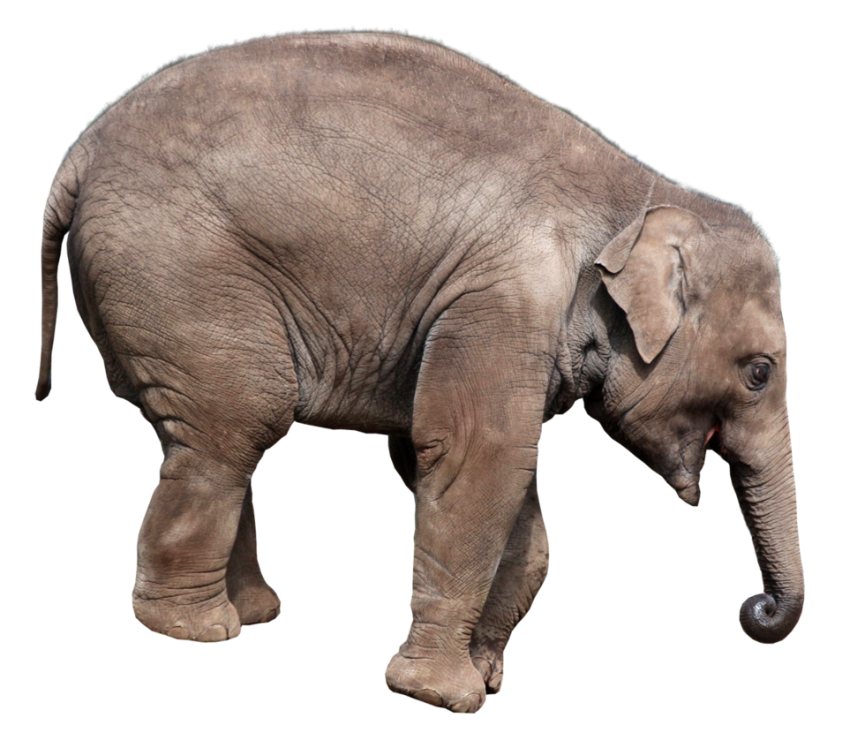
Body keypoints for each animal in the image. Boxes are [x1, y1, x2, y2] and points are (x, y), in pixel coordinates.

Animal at [35, 29, 803, 714]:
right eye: (759, 372)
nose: (757, 607)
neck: (644, 191)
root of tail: (77, 155)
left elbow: (509, 487)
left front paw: (486, 676)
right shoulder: (503, 301)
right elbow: (475, 455)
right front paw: (440, 696)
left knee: (209, 434)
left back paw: (252, 612)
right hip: (179, 272)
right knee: (238, 425)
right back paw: (196, 630)